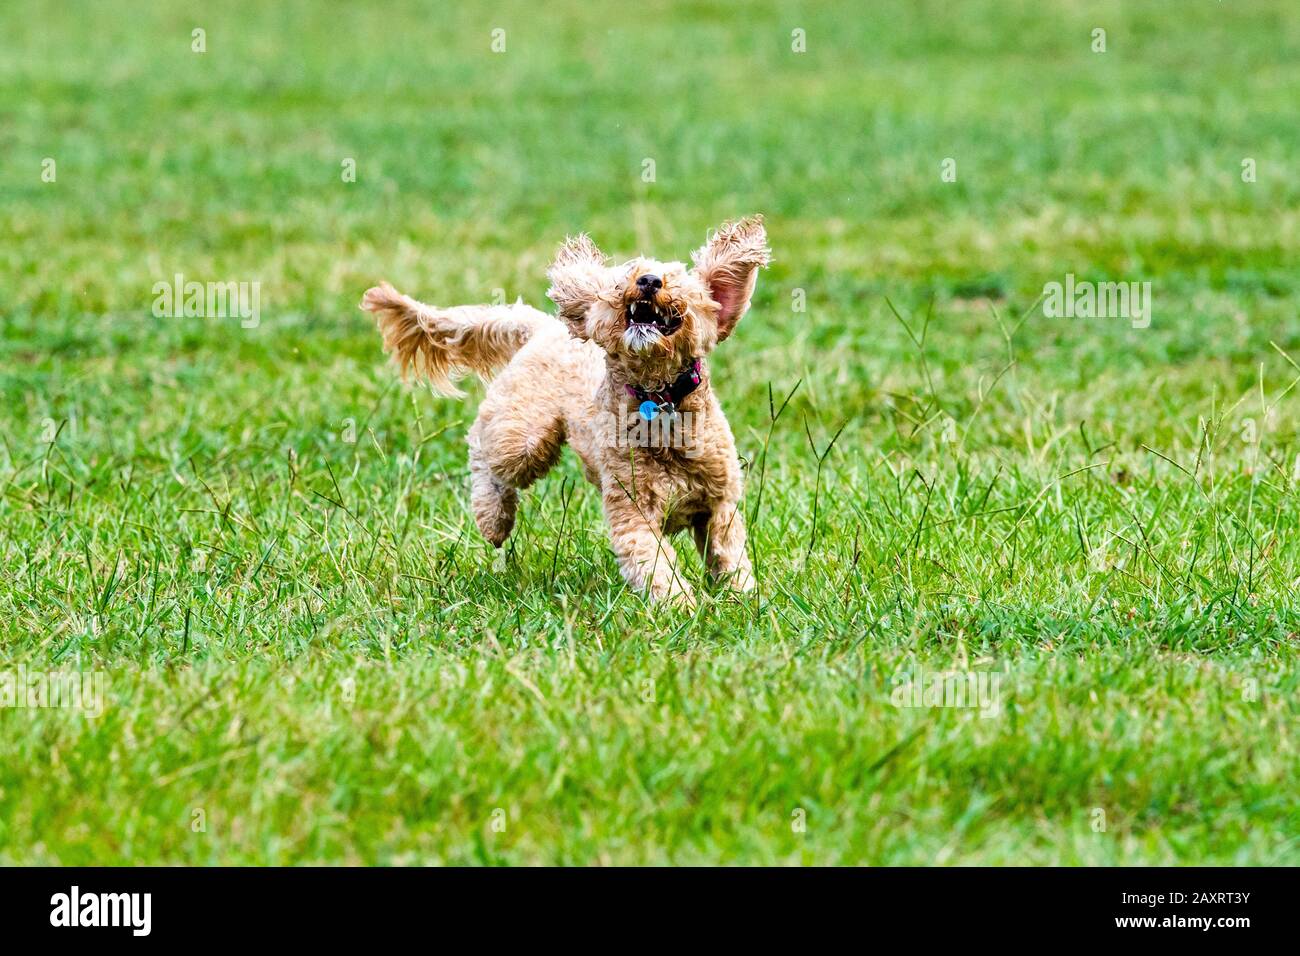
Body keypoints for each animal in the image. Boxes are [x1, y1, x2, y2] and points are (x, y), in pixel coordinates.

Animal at [364, 217, 769, 606]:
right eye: (629, 272)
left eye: (679, 281)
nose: (649, 281)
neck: (658, 397)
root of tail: (545, 327)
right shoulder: (632, 511)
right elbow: (652, 561)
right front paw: (681, 605)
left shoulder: (720, 504)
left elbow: (729, 553)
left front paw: (742, 598)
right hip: (525, 434)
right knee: (484, 449)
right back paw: (493, 519)